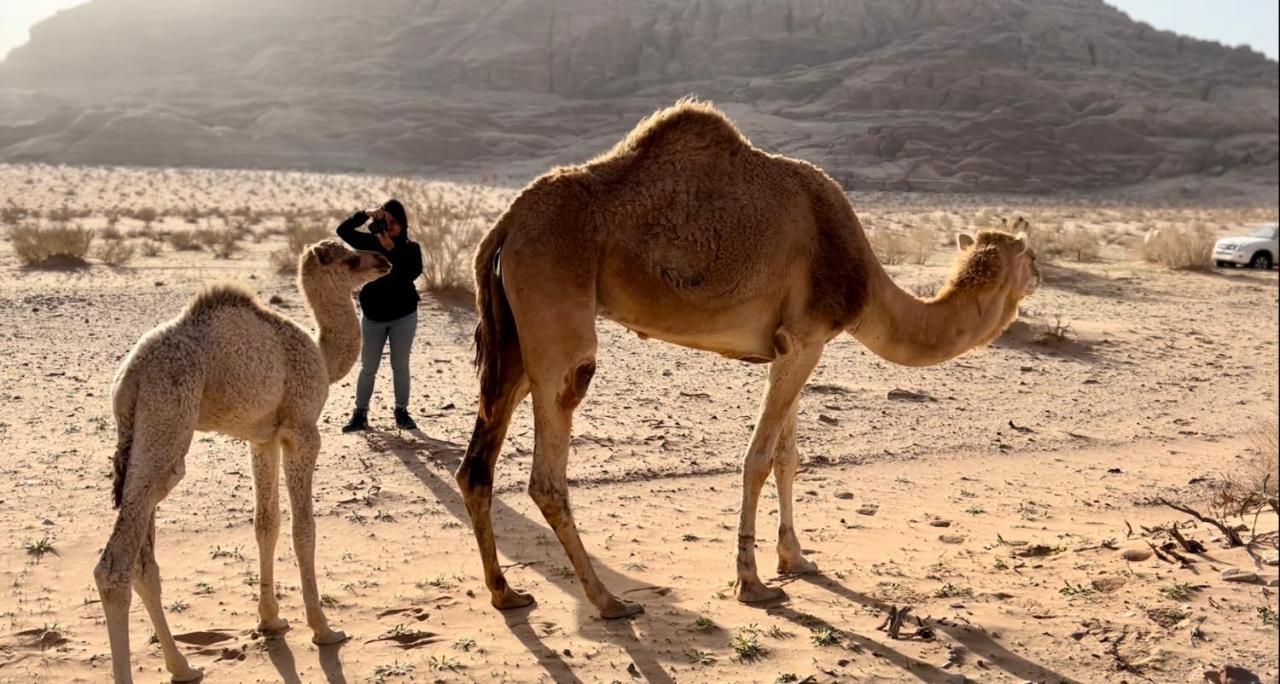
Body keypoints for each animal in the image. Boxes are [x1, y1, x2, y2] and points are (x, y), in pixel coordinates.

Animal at [94, 239, 386, 681]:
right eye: (352, 258)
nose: (384, 261)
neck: (320, 355)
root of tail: (131, 375)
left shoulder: (261, 438)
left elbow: (266, 525)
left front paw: (271, 621)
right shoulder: (301, 429)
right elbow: (304, 529)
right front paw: (323, 629)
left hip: (139, 435)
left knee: (144, 558)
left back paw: (183, 666)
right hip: (168, 415)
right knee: (115, 566)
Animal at [460, 101, 1039, 622]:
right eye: (1031, 255)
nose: (1038, 276)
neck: (866, 281)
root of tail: (507, 221)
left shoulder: (793, 346)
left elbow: (788, 458)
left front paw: (796, 559)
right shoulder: (804, 340)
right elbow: (758, 459)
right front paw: (753, 583)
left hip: (513, 338)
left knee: (477, 466)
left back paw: (506, 593)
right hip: (557, 317)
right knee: (547, 473)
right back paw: (609, 601)